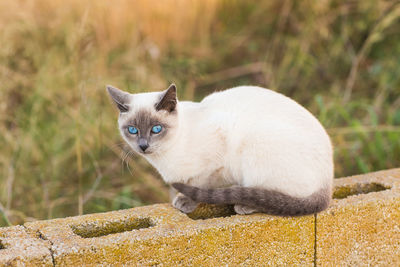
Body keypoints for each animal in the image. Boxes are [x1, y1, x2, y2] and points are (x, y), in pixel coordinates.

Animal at [107, 85, 334, 217]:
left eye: (156, 129)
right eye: (132, 130)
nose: (143, 146)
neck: (164, 156)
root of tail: (328, 182)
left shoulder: (214, 161)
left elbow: (199, 183)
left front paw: (185, 201)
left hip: (256, 145)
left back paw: (244, 206)